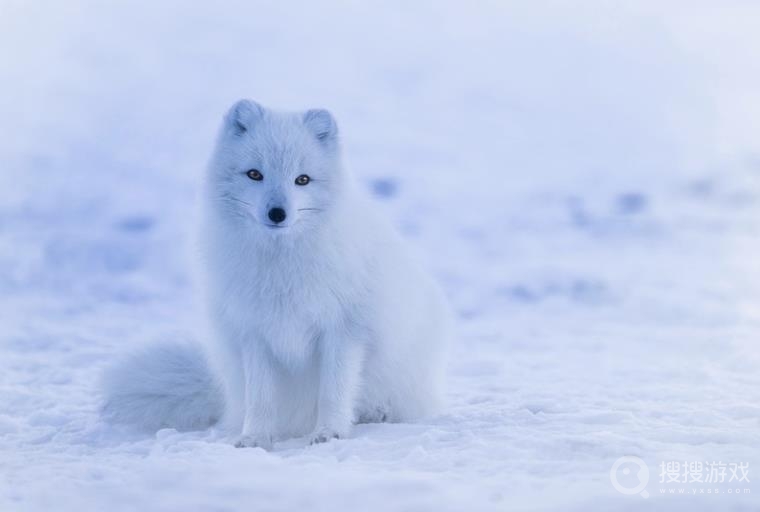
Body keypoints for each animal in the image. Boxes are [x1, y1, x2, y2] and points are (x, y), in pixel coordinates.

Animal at [101, 100, 452, 448]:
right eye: (255, 174)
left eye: (302, 180)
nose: (277, 213)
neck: (281, 266)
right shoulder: (254, 332)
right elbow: (261, 398)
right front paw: (255, 437)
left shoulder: (343, 330)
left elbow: (334, 391)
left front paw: (330, 432)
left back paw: (376, 413)